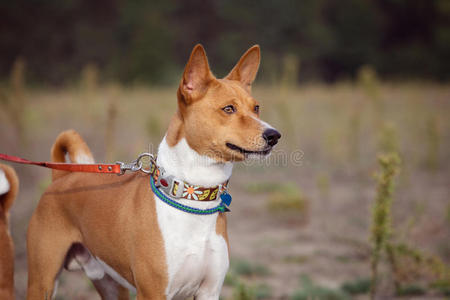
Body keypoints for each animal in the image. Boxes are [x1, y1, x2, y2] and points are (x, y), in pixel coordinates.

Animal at [26, 45, 280, 300]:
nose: (274, 135)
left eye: (256, 108)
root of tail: (61, 177)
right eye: (228, 109)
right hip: (42, 281)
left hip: (110, 284)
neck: (191, 196)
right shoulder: (153, 292)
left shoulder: (209, 291)